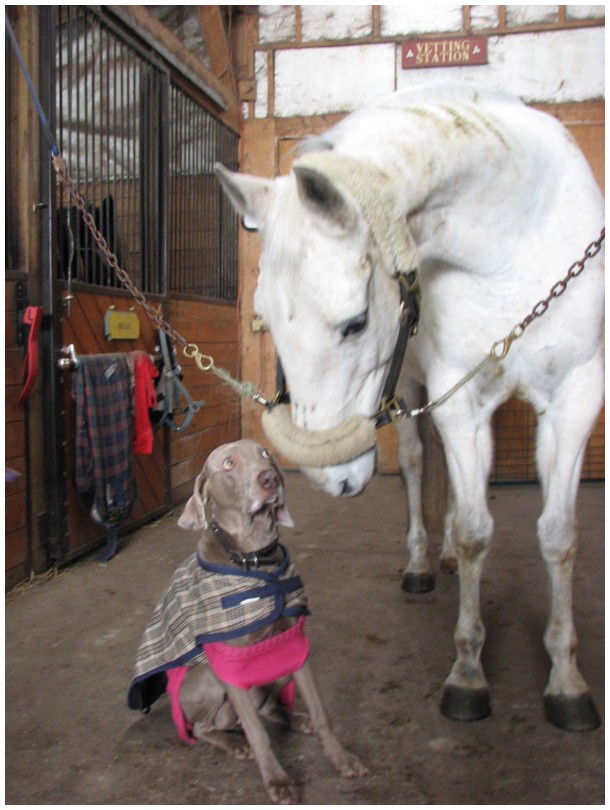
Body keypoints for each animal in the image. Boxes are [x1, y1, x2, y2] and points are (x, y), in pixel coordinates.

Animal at [214, 82, 604, 732]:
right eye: (264, 315)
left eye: (355, 321)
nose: (330, 479)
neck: (514, 239)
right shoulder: (459, 397)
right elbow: (474, 531)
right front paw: (468, 674)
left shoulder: (575, 396)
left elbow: (558, 535)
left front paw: (567, 680)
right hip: (420, 393)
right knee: (423, 465)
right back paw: (424, 562)